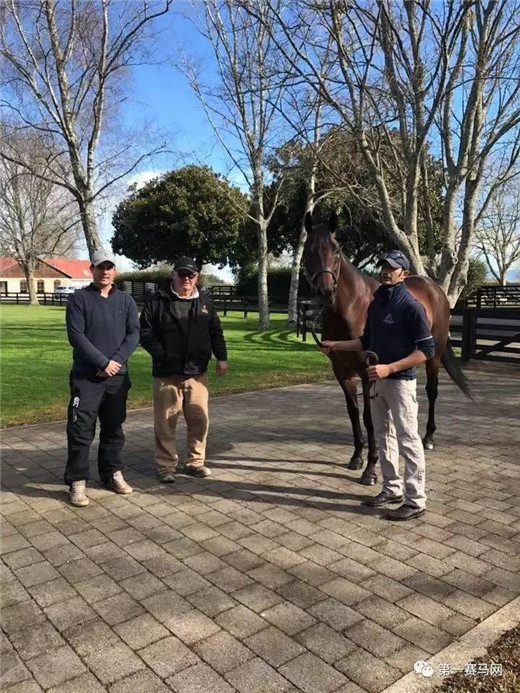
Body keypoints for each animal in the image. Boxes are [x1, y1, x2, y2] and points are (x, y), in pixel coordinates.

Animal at [302, 214, 474, 484]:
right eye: (308, 250)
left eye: (336, 249)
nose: (326, 291)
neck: (352, 308)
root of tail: (436, 290)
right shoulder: (342, 372)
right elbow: (353, 412)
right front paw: (356, 457)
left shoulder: (367, 372)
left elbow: (368, 417)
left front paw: (371, 469)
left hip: (433, 356)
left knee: (432, 391)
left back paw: (428, 438)